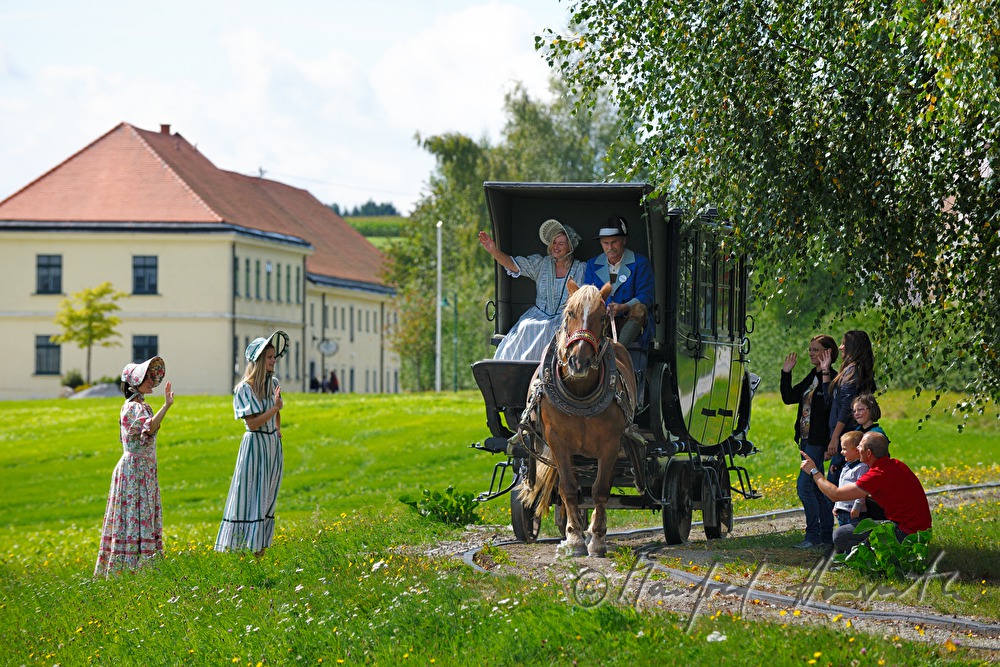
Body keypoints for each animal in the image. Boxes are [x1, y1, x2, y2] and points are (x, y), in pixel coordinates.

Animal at [520, 278, 636, 560]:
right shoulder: (558, 442)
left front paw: (597, 539)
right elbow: (569, 489)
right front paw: (574, 539)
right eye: (570, 313)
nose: (578, 362)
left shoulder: (610, 444)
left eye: (602, 316)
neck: (580, 392)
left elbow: (601, 489)